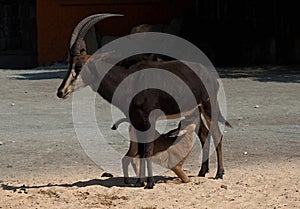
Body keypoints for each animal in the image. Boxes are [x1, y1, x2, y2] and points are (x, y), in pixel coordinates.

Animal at [56, 13, 230, 189]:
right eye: (70, 64)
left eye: (79, 66)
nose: (61, 92)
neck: (128, 80)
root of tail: (209, 75)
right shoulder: (136, 120)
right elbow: (140, 149)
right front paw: (140, 181)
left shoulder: (148, 119)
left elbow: (147, 149)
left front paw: (150, 183)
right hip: (195, 109)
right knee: (204, 134)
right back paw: (202, 171)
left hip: (209, 106)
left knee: (216, 133)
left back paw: (219, 173)